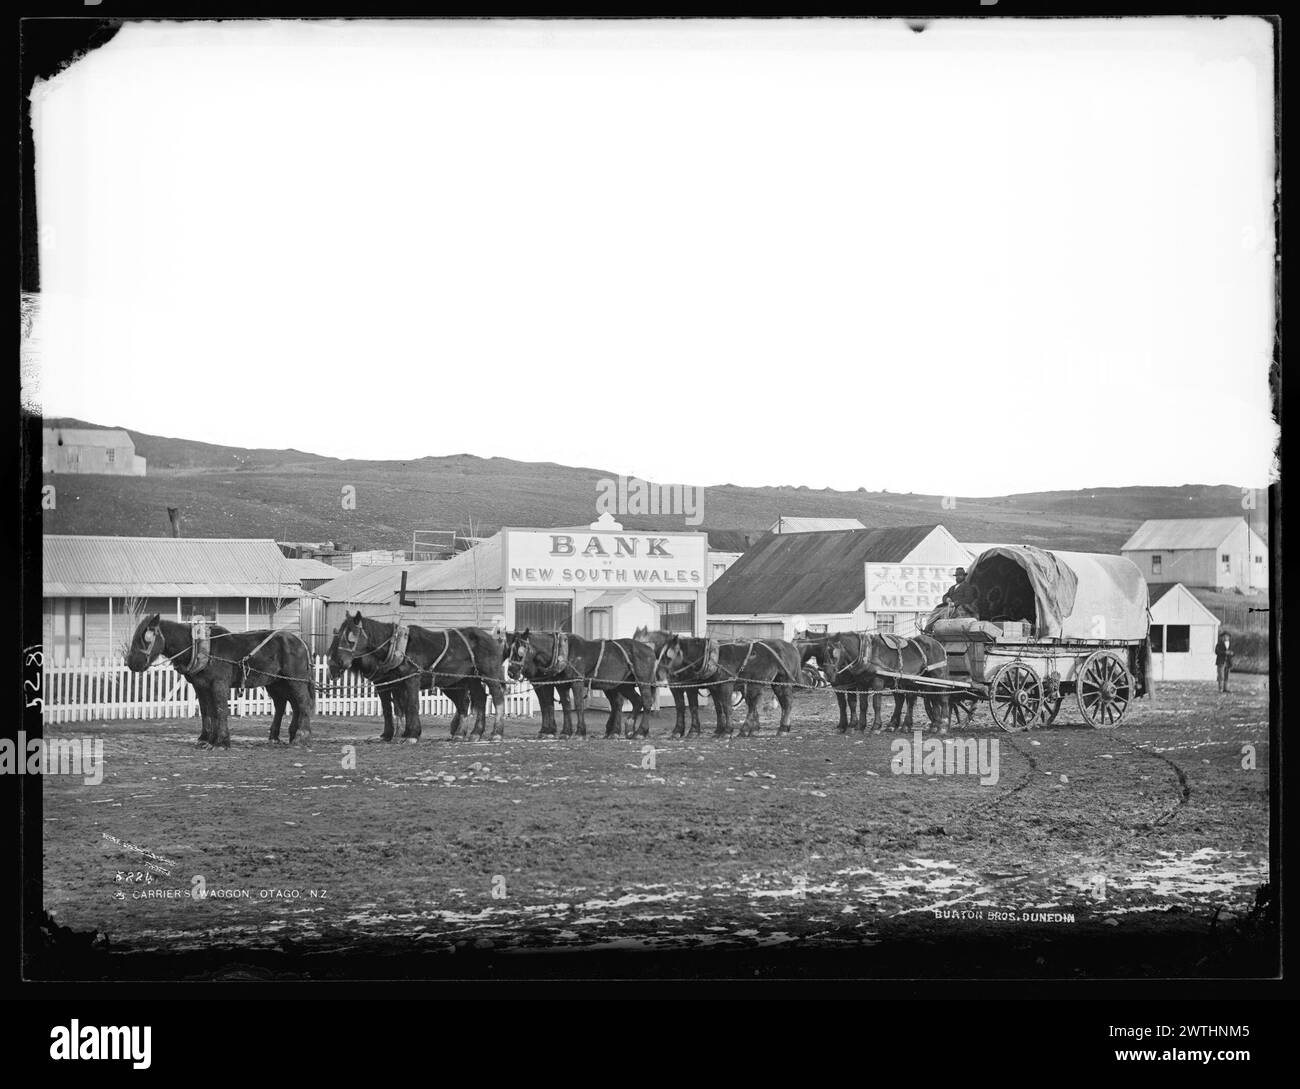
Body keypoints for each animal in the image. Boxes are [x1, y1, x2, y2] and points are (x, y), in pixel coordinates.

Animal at [123, 618, 314, 753]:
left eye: (146, 638)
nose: (132, 662)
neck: (202, 649)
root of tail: (301, 642)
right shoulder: (202, 687)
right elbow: (208, 712)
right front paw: (206, 739)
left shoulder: (218, 684)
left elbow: (221, 711)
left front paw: (221, 743)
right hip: (277, 683)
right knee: (286, 705)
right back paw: (283, 736)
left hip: (295, 681)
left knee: (303, 703)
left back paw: (301, 737)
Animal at [327, 613, 504, 743]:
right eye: (338, 634)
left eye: (351, 636)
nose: (335, 663)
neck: (399, 647)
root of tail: (492, 638)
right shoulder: (395, 683)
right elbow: (398, 708)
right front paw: (399, 734)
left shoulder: (411, 679)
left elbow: (412, 705)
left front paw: (411, 735)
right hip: (467, 679)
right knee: (477, 700)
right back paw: (473, 733)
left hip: (489, 675)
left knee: (497, 699)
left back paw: (496, 733)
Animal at [501, 631, 655, 743]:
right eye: (510, 650)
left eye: (520, 651)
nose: (511, 672)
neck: (563, 654)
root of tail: (649, 649)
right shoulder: (559, 684)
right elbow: (563, 706)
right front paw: (563, 732)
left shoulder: (576, 682)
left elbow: (577, 705)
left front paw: (579, 732)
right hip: (621, 684)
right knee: (632, 701)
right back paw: (625, 729)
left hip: (642, 681)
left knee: (645, 702)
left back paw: (640, 732)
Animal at [665, 634, 795, 738]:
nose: (670, 675)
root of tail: (788, 646)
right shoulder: (711, 687)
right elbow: (683, 708)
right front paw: (679, 730)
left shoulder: (719, 686)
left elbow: (724, 707)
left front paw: (725, 731)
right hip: (768, 684)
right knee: (769, 704)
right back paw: (761, 729)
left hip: (775, 682)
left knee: (781, 704)